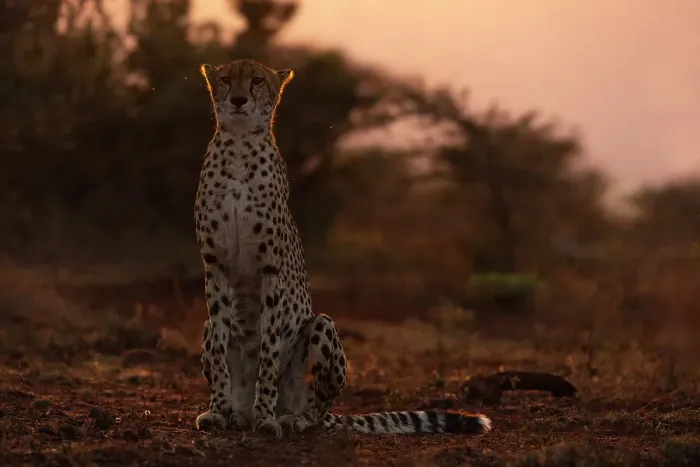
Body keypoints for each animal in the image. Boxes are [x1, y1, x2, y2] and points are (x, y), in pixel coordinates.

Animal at [193, 58, 492, 437]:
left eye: (257, 80)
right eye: (225, 79)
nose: (238, 100)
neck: (239, 148)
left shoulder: (270, 269)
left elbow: (270, 351)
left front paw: (265, 417)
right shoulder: (214, 265)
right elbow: (220, 347)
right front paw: (217, 410)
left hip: (323, 327)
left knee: (319, 405)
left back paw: (292, 418)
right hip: (207, 326)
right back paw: (237, 413)